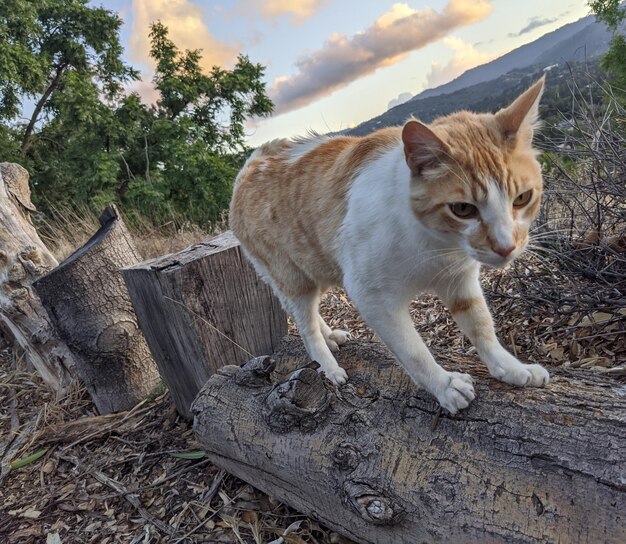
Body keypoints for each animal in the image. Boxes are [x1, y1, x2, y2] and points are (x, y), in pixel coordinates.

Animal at [229, 77, 544, 412]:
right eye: (462, 209)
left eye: (522, 198)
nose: (506, 247)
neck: (438, 244)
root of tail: (251, 165)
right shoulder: (372, 297)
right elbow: (413, 350)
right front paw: (444, 386)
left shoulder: (460, 280)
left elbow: (482, 327)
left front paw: (512, 369)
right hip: (293, 279)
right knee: (305, 324)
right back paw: (327, 366)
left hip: (316, 267)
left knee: (309, 314)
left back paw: (330, 336)